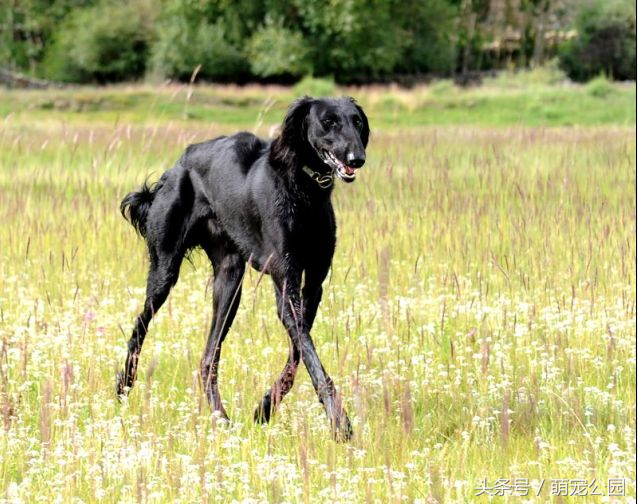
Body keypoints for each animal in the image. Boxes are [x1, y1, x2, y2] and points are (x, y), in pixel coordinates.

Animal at [118, 96, 370, 440]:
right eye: (328, 122)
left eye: (357, 121)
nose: (357, 158)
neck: (303, 188)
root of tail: (179, 163)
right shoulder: (286, 285)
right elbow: (309, 355)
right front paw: (340, 423)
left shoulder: (313, 285)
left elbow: (298, 353)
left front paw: (264, 408)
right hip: (164, 270)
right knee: (140, 326)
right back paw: (124, 385)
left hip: (229, 281)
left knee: (208, 359)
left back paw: (221, 420)